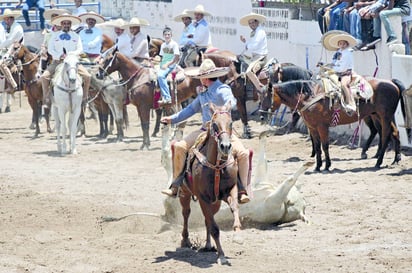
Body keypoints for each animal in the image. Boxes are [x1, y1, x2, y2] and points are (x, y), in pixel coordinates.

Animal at [179, 101, 240, 264]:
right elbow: (215, 228)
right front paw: (222, 256)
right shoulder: (203, 198)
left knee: (207, 219)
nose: (225, 146)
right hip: (185, 193)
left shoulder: (231, 190)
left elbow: (234, 207)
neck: (217, 166)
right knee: (186, 213)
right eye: (214, 125)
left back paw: (208, 245)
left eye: (231, 123)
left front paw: (237, 232)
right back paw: (185, 240)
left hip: (215, 202)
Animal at [266, 77, 404, 171]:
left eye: (267, 95)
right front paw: (318, 166)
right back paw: (396, 159)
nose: (263, 115)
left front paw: (327, 165)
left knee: (385, 135)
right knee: (394, 133)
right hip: (380, 116)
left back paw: (379, 162)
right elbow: (317, 147)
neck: (311, 97)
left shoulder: (322, 127)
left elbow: (325, 146)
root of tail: (391, 82)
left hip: (384, 117)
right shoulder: (313, 128)